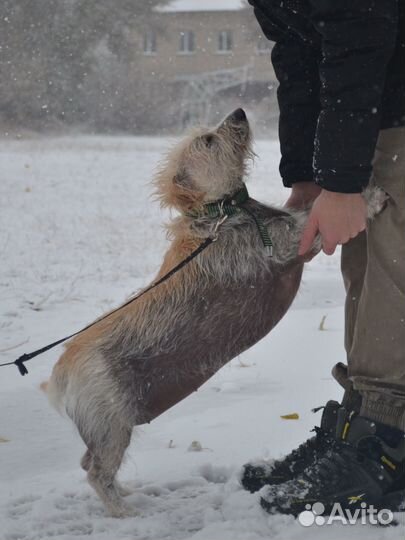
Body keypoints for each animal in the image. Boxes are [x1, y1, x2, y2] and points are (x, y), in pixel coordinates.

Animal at [41, 107, 386, 516]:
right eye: (207, 140)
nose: (239, 111)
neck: (220, 215)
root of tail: (60, 375)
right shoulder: (285, 245)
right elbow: (307, 223)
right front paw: (371, 197)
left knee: (89, 464)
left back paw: (125, 493)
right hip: (112, 425)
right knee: (95, 471)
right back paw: (124, 511)